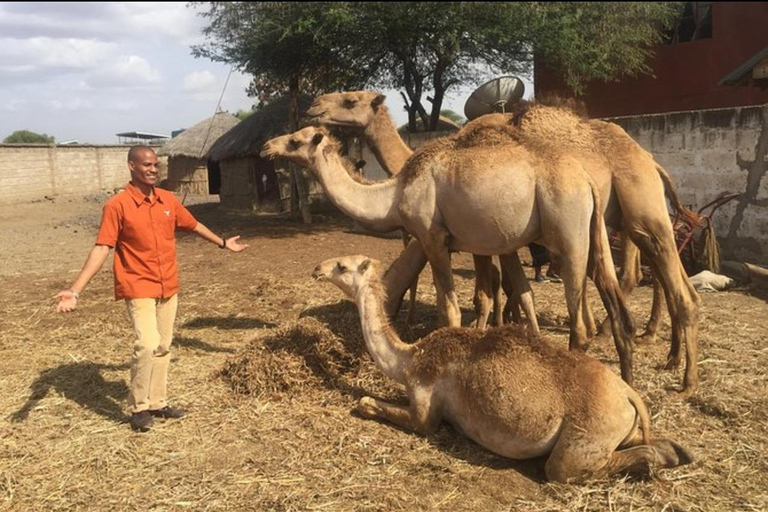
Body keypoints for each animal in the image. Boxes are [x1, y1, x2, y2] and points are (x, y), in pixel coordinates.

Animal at [260, 126, 640, 384]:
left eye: (295, 140)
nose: (266, 146)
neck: (394, 193)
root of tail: (586, 179)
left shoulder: (433, 239)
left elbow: (450, 309)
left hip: (568, 232)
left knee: (579, 319)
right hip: (593, 232)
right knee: (610, 293)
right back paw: (625, 376)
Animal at [308, 92, 704, 394]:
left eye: (350, 99)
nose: (314, 106)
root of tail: (650, 159)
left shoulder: (468, 238)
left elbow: (491, 292)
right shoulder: (491, 240)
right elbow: (504, 290)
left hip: (640, 214)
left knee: (662, 282)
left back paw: (682, 378)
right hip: (623, 226)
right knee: (659, 280)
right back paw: (663, 356)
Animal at [308, 256, 692, 484]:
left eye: (341, 266)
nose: (317, 269)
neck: (410, 357)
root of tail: (628, 394)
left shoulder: (424, 405)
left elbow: (375, 407)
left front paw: (364, 404)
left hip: (585, 437)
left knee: (564, 468)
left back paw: (651, 464)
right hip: (621, 428)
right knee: (653, 444)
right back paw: (678, 453)